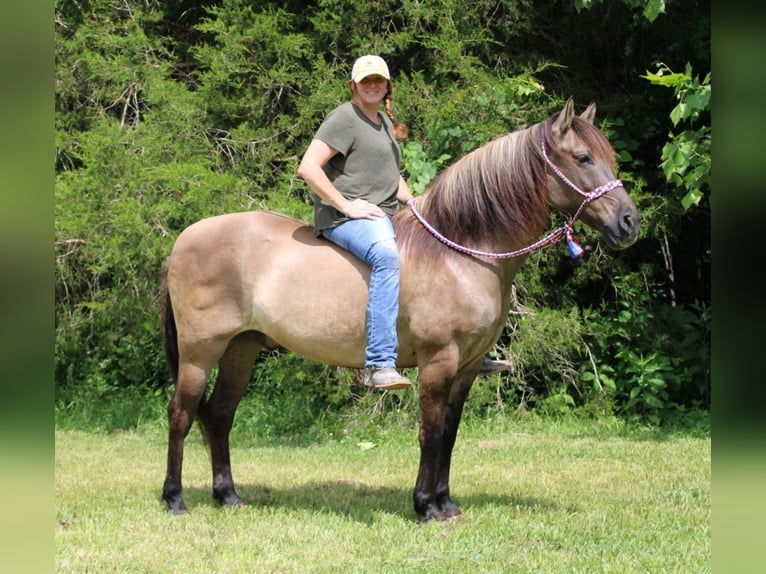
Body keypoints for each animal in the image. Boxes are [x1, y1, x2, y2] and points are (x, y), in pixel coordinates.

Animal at [160, 98, 640, 520]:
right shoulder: (438, 360)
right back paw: (175, 499)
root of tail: (185, 238)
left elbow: (449, 434)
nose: (629, 222)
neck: (459, 250)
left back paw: (228, 496)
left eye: (610, 156)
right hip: (201, 350)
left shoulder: (467, 367)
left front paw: (445, 503)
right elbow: (430, 432)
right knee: (181, 414)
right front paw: (425, 506)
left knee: (219, 416)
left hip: (241, 348)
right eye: (582, 157)